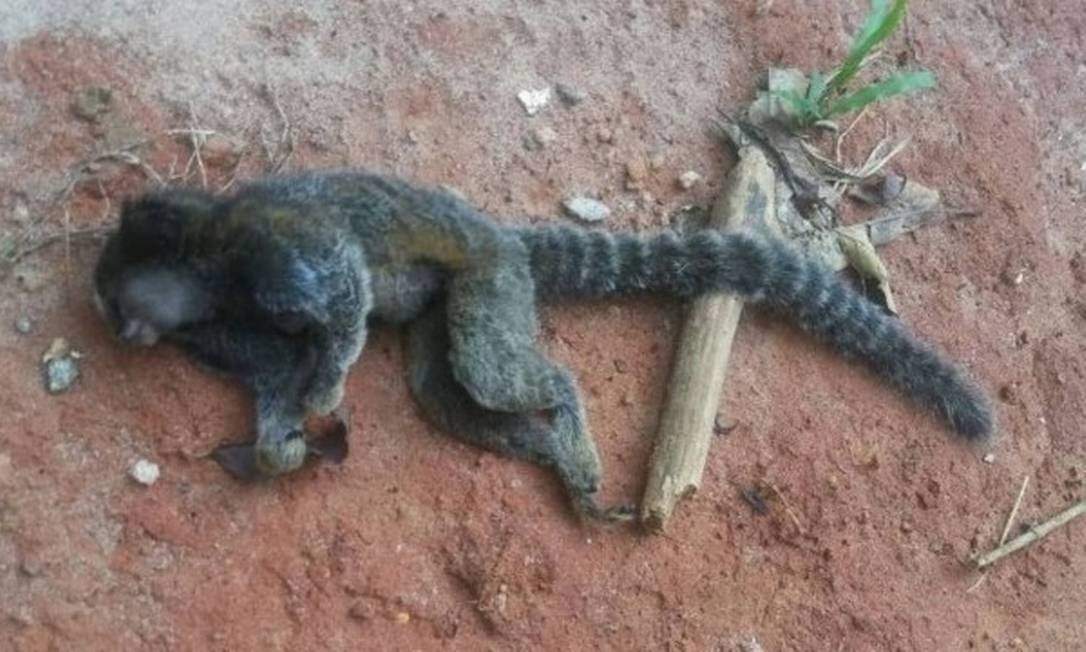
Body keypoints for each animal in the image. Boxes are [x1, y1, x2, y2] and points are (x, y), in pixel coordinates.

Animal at [93, 169, 994, 521]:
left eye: (114, 297)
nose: (116, 328)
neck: (213, 270)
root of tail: (505, 240)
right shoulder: (223, 329)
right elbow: (276, 370)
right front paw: (279, 441)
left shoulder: (276, 250)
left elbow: (341, 291)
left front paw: (324, 391)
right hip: (472, 304)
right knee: (447, 392)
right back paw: (545, 454)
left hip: (489, 283)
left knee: (495, 372)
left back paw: (564, 419)